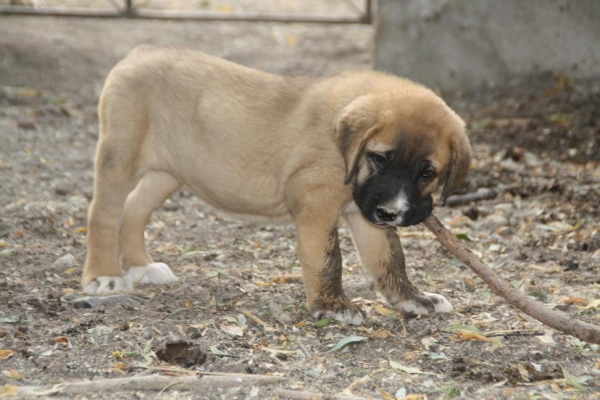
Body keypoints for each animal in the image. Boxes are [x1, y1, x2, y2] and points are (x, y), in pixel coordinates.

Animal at [81, 45, 474, 324]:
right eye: (379, 158)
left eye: (427, 173)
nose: (392, 212)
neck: (344, 151)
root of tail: (139, 53)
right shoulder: (316, 203)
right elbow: (328, 257)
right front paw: (332, 304)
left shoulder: (364, 211)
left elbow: (390, 258)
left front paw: (412, 298)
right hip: (119, 155)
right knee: (103, 213)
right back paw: (103, 276)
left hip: (168, 173)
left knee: (133, 209)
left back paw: (141, 265)